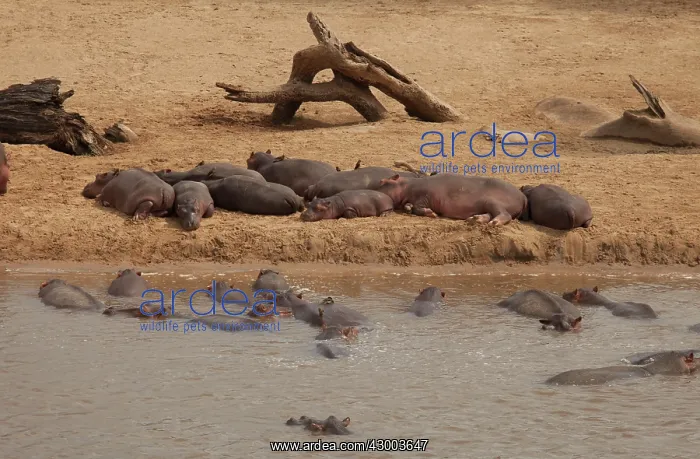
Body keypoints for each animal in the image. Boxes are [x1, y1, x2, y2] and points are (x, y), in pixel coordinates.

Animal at [376, 173, 527, 225]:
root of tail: (523, 197)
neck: (406, 185)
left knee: (503, 214)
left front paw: (432, 214)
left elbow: (418, 207)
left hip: (491, 201)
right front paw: (408, 207)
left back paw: (494, 223)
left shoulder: (425, 196)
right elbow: (410, 206)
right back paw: (475, 219)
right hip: (486, 203)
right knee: (489, 214)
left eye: (382, 181)